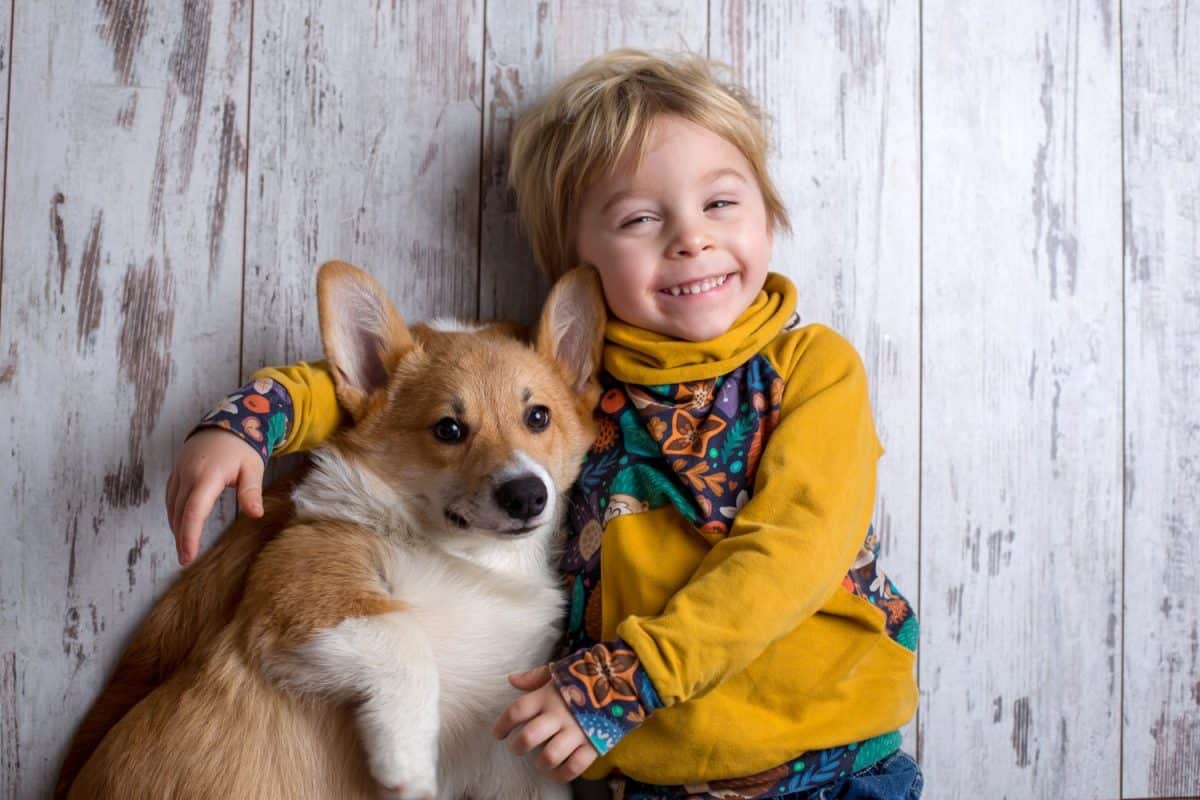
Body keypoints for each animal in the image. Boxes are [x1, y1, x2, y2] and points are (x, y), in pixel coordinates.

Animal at [57, 262, 604, 800]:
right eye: (448, 429)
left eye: (538, 416)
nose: (527, 495)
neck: (475, 559)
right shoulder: (304, 593)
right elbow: (405, 638)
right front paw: (409, 766)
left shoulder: (507, 752)